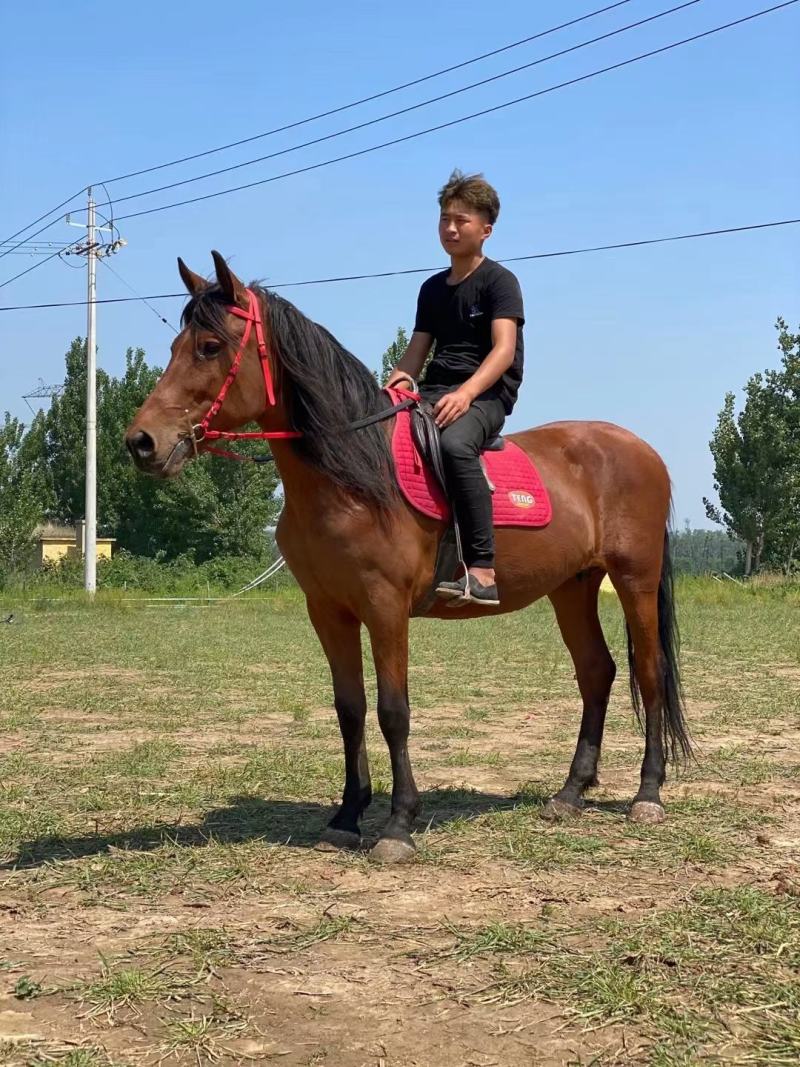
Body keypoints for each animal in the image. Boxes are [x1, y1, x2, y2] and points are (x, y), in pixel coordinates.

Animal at [126, 251, 691, 864]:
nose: (142, 442)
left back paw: (648, 794)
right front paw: (346, 817)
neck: (354, 476)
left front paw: (398, 825)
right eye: (175, 345)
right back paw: (569, 794)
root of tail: (641, 450)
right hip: (573, 585)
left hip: (634, 579)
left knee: (651, 673)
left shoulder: (386, 606)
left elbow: (393, 712)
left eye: (209, 346)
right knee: (596, 672)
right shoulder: (328, 610)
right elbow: (349, 710)